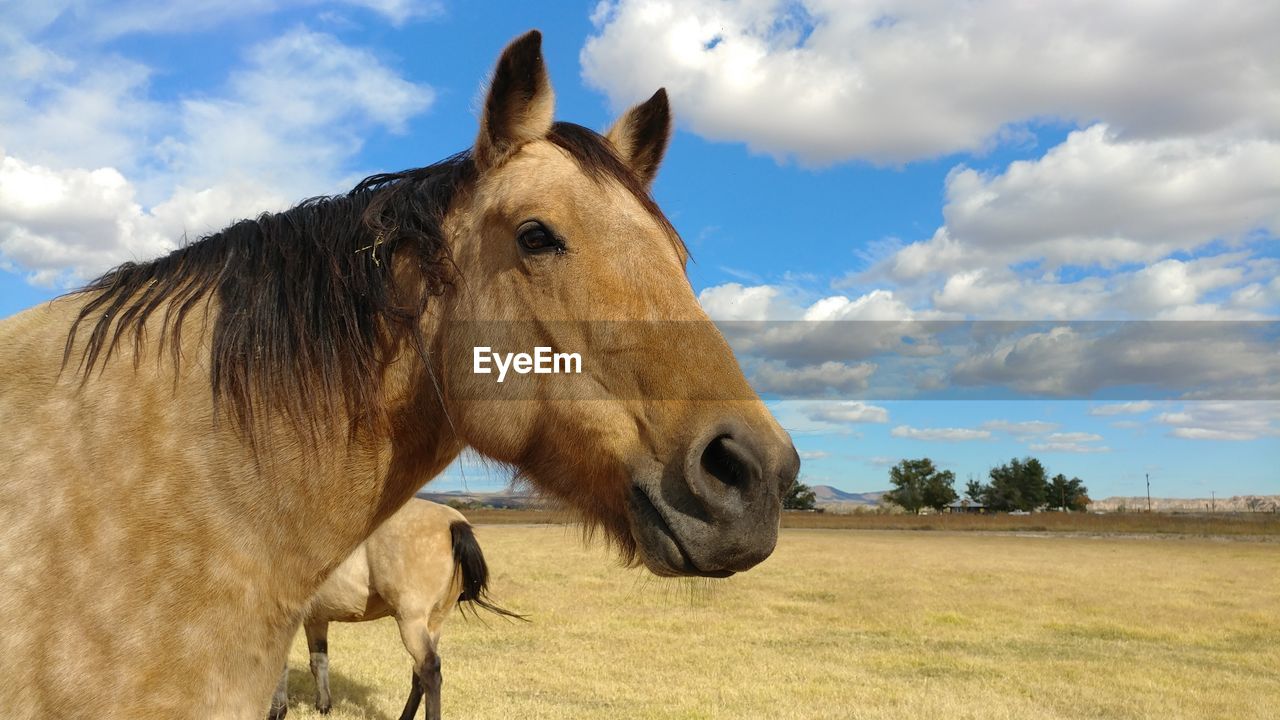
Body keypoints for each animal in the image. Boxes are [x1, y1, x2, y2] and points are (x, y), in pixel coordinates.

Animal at [264, 497, 514, 717]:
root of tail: (453, 521)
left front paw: (277, 712)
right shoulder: (315, 619)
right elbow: (319, 660)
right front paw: (323, 707)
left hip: (411, 621)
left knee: (429, 669)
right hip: (434, 622)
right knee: (419, 672)